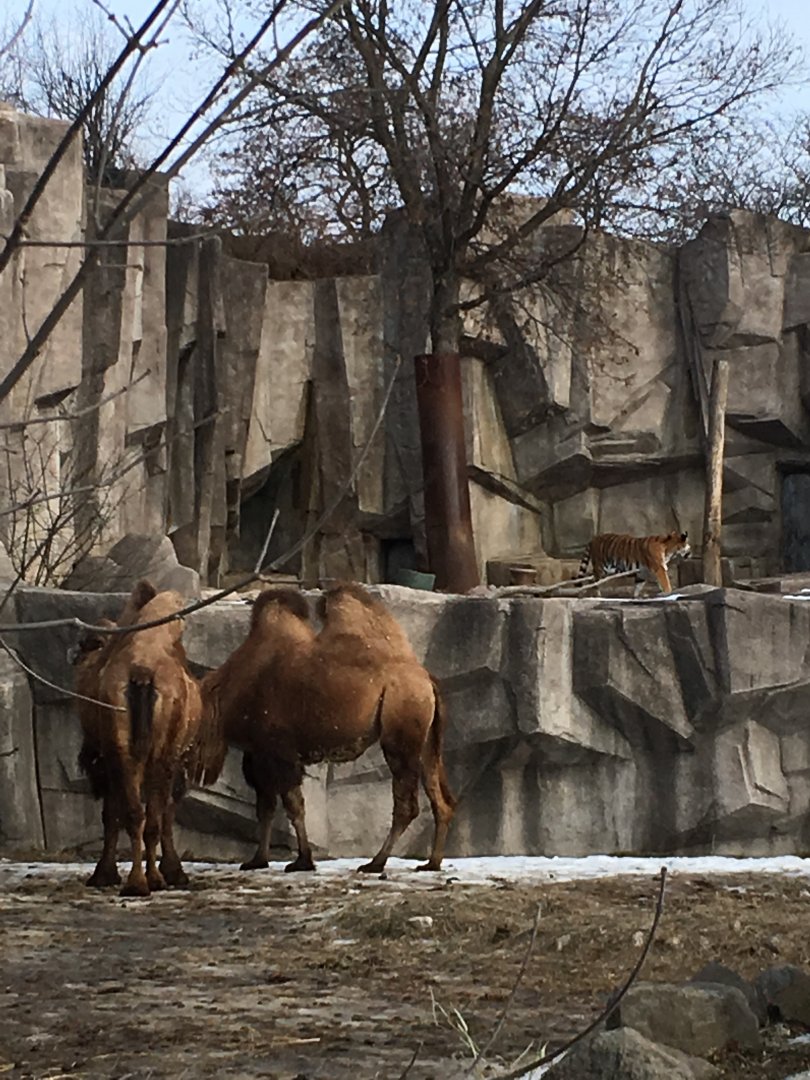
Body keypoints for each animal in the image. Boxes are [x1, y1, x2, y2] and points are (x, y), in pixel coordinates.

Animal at [73, 581, 211, 897]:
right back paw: (148, 880)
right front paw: (173, 871)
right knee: (150, 816)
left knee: (135, 813)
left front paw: (105, 874)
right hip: (155, 754)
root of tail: (142, 672)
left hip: (124, 751)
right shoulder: (174, 758)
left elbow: (114, 813)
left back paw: (137, 882)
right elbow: (164, 813)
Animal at [201, 584, 456, 874]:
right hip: (425, 738)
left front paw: (302, 861)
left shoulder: (279, 749)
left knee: (407, 804)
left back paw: (375, 863)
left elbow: (293, 806)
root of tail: (426, 679)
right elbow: (266, 806)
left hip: (401, 724)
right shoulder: (258, 754)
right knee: (440, 798)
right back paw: (431, 863)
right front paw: (258, 860)